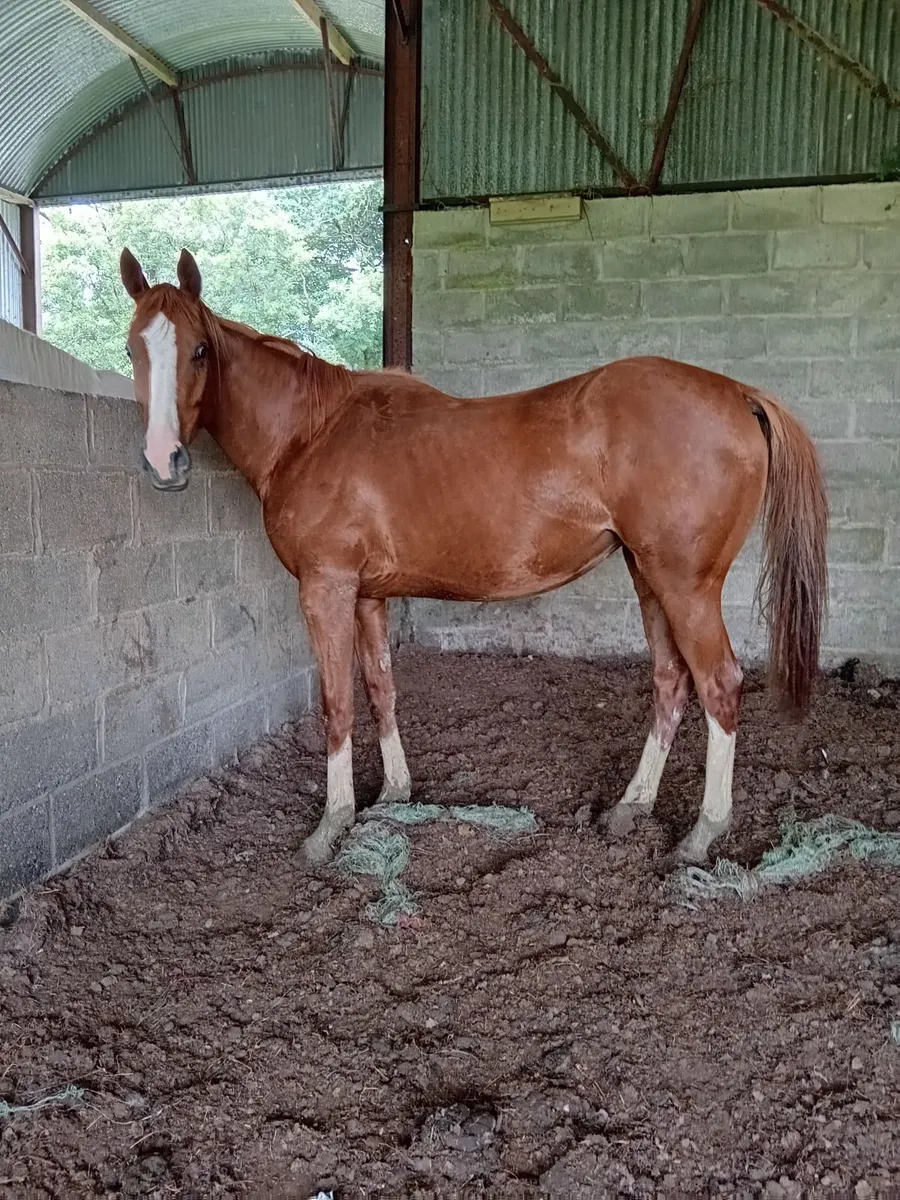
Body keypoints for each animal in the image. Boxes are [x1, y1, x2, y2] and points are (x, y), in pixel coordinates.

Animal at [119, 247, 828, 870]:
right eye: (132, 348)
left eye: (200, 350)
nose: (163, 461)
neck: (311, 432)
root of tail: (737, 392)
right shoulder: (369, 596)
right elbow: (380, 689)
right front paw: (394, 793)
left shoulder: (327, 588)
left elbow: (337, 703)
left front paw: (330, 826)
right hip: (648, 576)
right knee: (670, 681)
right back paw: (630, 808)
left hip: (685, 584)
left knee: (719, 685)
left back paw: (702, 835)